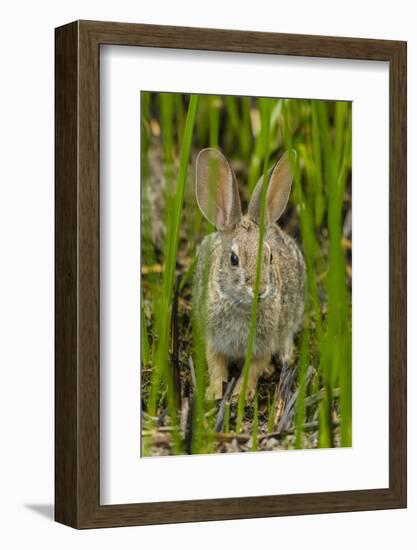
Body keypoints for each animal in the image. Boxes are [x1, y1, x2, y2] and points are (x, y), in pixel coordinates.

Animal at [193, 149, 306, 404]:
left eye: (270, 256)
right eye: (234, 259)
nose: (260, 290)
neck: (240, 306)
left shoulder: (263, 345)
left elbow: (252, 369)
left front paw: (241, 396)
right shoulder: (214, 340)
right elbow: (216, 366)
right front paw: (214, 393)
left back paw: (284, 357)